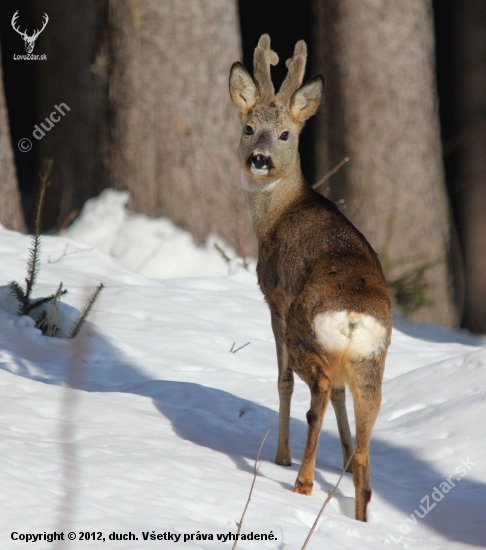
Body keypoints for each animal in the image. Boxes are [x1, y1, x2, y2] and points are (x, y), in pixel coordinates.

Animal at [230, 36, 392, 524]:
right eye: (249, 128)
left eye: (286, 134)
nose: (259, 159)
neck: (279, 211)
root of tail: (353, 318)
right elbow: (338, 398)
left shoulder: (274, 295)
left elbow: (281, 379)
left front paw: (280, 457)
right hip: (371, 367)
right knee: (364, 438)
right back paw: (358, 510)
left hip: (306, 333)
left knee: (316, 391)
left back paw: (302, 481)